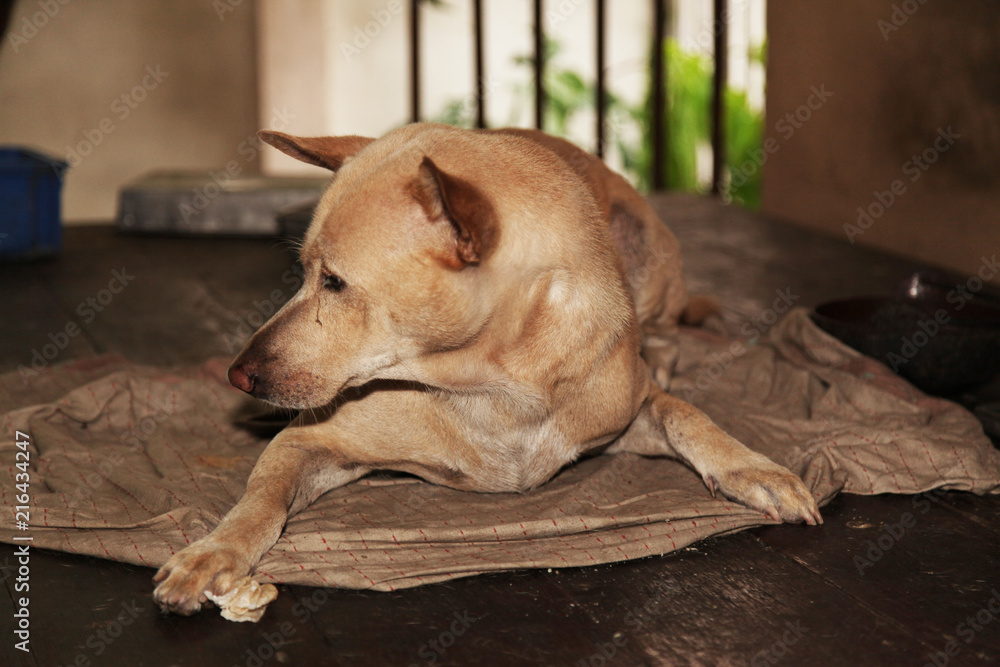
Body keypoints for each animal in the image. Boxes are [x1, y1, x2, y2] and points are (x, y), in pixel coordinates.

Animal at [150, 124, 820, 616]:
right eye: (303, 271)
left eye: (334, 282)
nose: (238, 375)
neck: (493, 388)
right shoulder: (311, 443)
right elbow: (260, 502)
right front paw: (214, 552)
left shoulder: (631, 409)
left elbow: (687, 415)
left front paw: (752, 467)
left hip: (649, 250)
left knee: (669, 327)